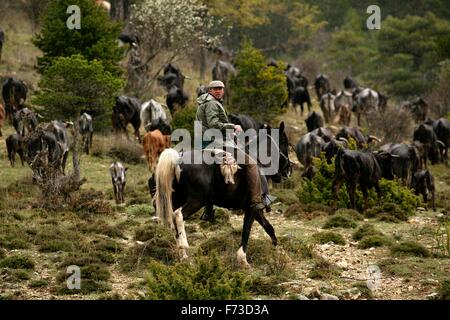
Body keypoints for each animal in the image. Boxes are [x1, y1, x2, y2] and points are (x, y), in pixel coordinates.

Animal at [153, 124, 290, 266]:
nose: (288, 171)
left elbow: (269, 228)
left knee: (172, 220)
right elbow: (246, 230)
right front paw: (243, 259)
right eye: (285, 142)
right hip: (196, 200)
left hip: (176, 198)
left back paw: (183, 255)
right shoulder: (252, 208)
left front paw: (279, 252)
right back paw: (184, 246)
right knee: (179, 215)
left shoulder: (256, 209)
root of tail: (177, 160)